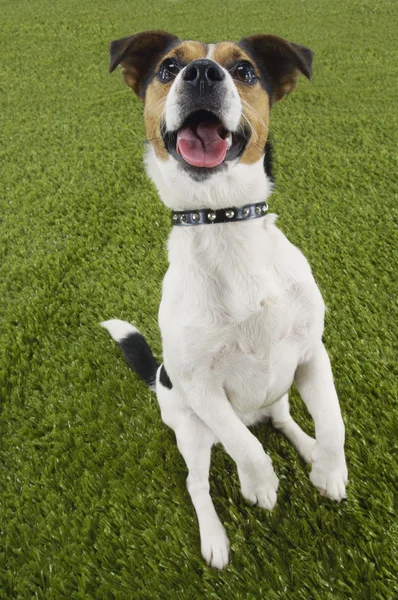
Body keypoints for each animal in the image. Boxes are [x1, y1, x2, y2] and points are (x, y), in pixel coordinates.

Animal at [102, 30, 348, 568]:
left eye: (245, 71)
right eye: (168, 68)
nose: (201, 74)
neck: (224, 223)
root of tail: (156, 376)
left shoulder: (312, 354)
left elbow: (334, 424)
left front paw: (330, 470)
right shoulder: (201, 387)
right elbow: (245, 449)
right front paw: (260, 486)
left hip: (279, 390)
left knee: (283, 422)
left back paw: (308, 449)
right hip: (191, 430)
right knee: (201, 479)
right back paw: (214, 539)